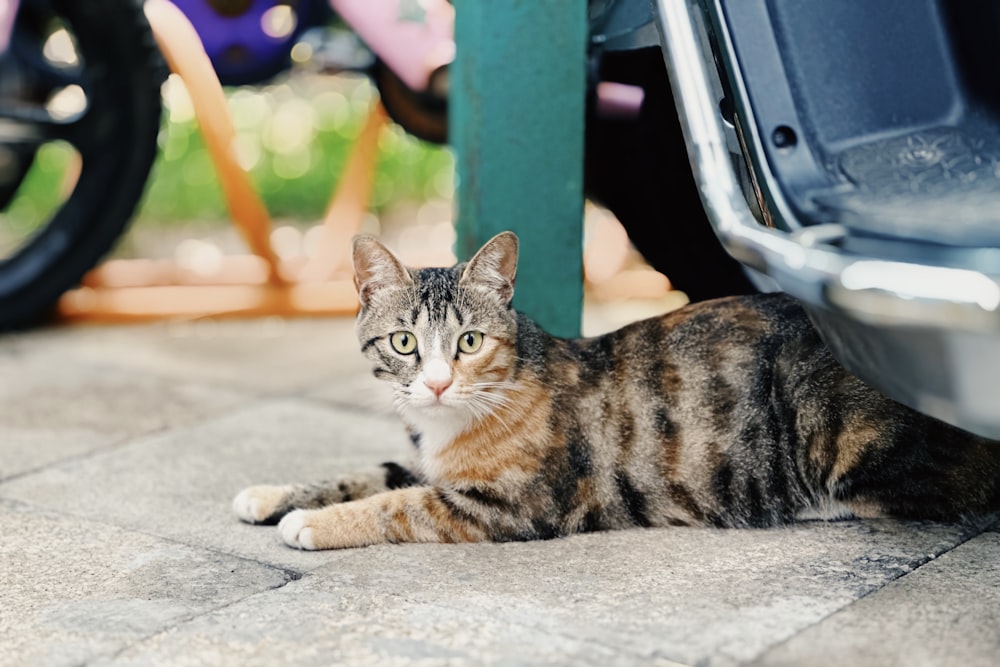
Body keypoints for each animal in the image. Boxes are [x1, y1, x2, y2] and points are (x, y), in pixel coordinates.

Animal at [234, 232, 1000, 552]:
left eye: (470, 342)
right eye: (402, 343)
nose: (439, 381)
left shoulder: (507, 505)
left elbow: (398, 502)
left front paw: (311, 523)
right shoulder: (427, 457)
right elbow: (372, 472)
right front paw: (272, 494)